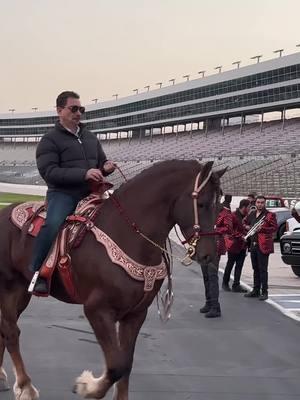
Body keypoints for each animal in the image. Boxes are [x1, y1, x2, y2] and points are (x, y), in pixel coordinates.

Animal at [0, 160, 225, 400]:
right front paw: (87, 386)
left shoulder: (135, 314)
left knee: (4, 329)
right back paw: (25, 386)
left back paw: (3, 378)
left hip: (22, 292)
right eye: (202, 204)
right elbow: (116, 365)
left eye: (219, 205)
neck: (127, 234)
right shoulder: (97, 310)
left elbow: (126, 364)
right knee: (11, 332)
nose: (209, 255)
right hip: (8, 287)